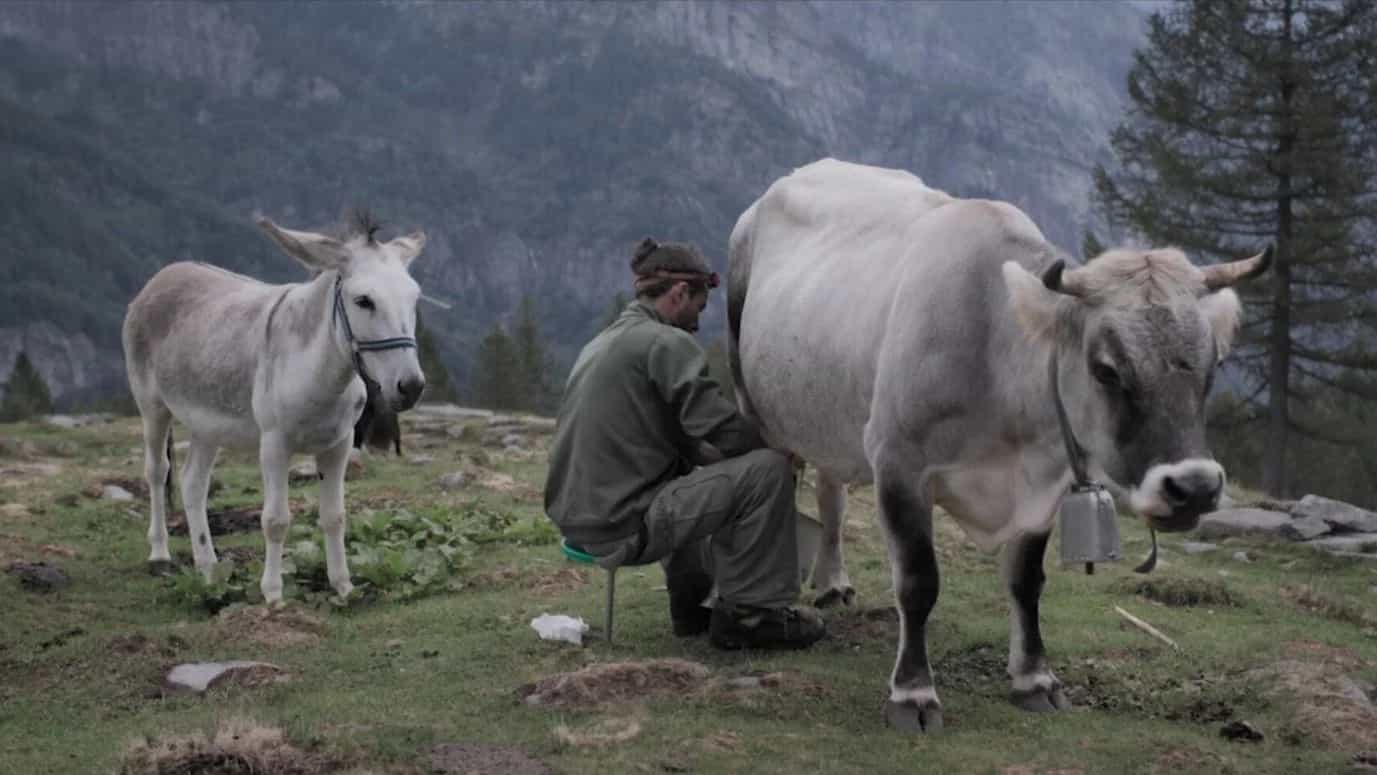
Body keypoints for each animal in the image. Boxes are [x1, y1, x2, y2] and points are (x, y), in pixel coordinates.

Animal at [726, 158, 1270, 731]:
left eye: (1213, 366)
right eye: (1106, 369)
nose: (1194, 488)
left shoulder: (1044, 483)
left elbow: (1026, 582)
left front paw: (1035, 679)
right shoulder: (899, 461)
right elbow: (918, 581)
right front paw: (913, 693)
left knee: (830, 492)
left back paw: (832, 582)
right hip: (756, 407)